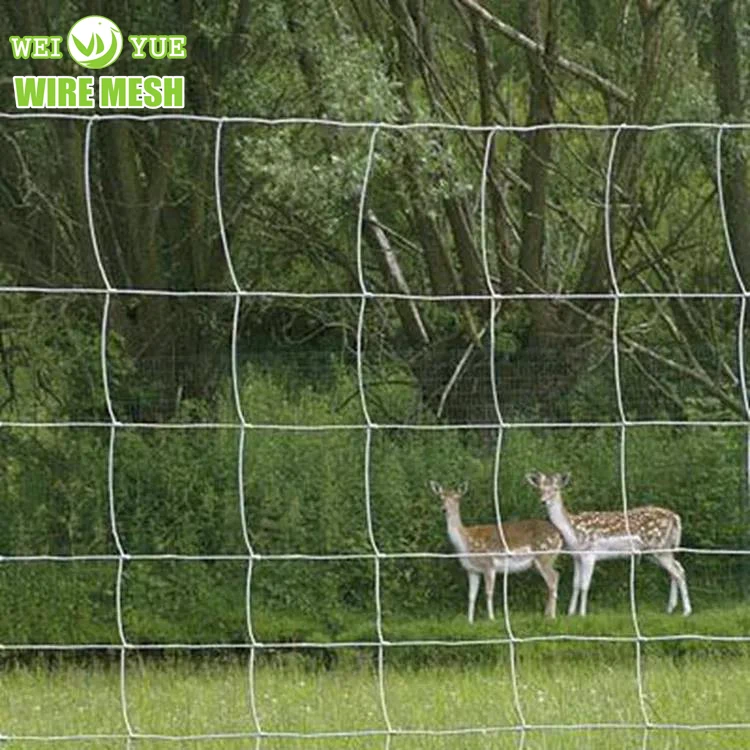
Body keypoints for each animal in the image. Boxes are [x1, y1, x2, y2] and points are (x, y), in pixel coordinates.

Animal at [430, 481, 563, 621]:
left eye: (456, 498)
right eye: (441, 497)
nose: (444, 509)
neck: (465, 544)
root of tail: (559, 535)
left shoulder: (489, 564)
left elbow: (488, 593)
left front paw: (491, 618)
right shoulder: (472, 570)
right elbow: (471, 596)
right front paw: (469, 621)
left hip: (545, 555)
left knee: (554, 577)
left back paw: (552, 616)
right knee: (553, 579)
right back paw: (546, 614)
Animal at [525, 471, 692, 617]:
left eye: (555, 489)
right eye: (539, 489)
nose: (543, 501)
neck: (573, 530)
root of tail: (676, 518)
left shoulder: (590, 554)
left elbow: (585, 585)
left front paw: (582, 614)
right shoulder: (577, 557)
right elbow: (576, 584)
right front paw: (570, 613)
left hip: (659, 547)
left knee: (678, 572)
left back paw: (686, 611)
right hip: (657, 551)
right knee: (677, 569)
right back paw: (670, 608)